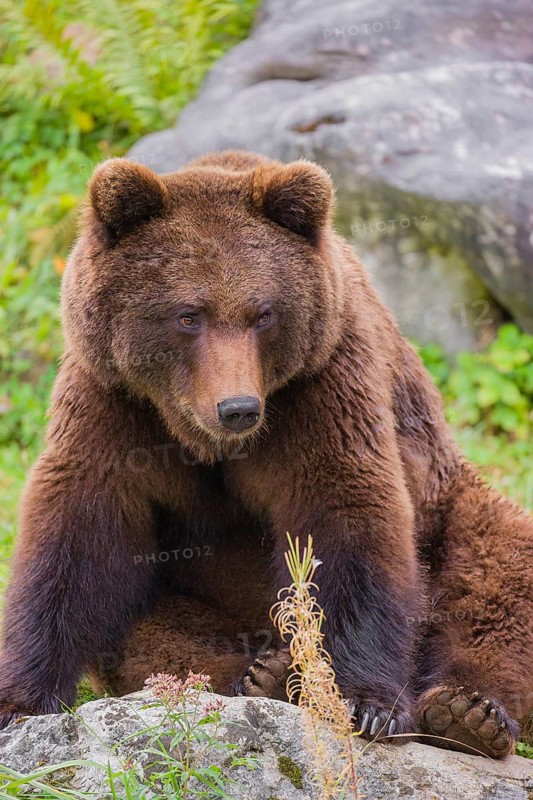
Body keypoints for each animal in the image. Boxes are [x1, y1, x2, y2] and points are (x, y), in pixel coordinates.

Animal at [0, 150, 531, 760]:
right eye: (188, 314)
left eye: (263, 314)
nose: (238, 407)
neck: (199, 434)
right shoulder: (114, 402)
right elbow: (77, 533)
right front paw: (20, 701)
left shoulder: (322, 383)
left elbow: (343, 516)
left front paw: (363, 702)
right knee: (145, 630)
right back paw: (262, 674)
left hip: (451, 502)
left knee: (498, 575)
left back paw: (466, 712)